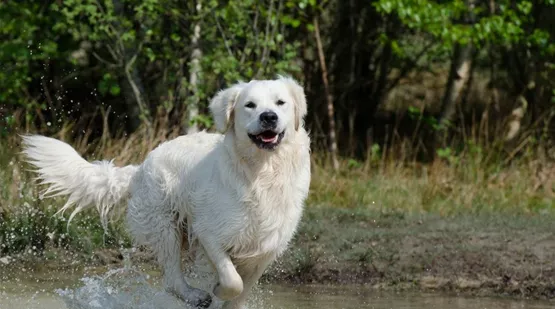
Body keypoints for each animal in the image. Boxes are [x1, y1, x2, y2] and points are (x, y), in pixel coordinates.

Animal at [21, 76, 312, 306]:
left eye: (280, 103)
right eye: (249, 105)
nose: (268, 117)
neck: (262, 173)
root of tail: (140, 168)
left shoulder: (265, 249)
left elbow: (241, 291)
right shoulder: (209, 233)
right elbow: (232, 281)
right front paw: (216, 289)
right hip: (165, 226)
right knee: (172, 279)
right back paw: (195, 296)